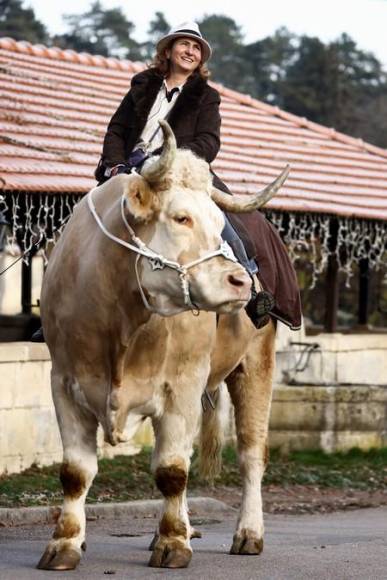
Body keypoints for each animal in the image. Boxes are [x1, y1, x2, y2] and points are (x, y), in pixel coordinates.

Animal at [38, 121, 290, 572]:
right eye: (180, 217)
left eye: (219, 222)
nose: (241, 282)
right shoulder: (64, 382)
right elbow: (75, 472)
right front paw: (65, 543)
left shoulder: (182, 386)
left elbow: (172, 470)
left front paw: (173, 544)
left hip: (255, 363)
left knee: (251, 453)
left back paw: (247, 533)